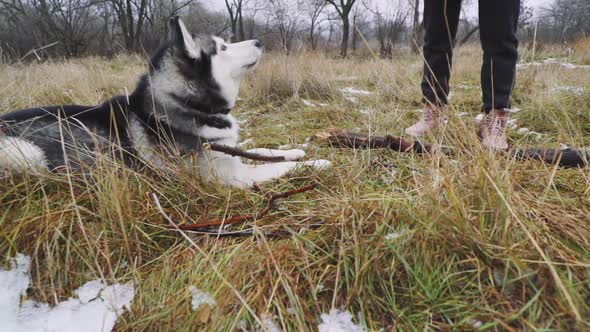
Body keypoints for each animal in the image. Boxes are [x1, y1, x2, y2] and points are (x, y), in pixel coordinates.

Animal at [0, 16, 330, 188]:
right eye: (223, 47)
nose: (260, 41)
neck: (188, 105)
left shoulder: (229, 149)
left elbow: (261, 150)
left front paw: (294, 150)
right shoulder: (232, 176)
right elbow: (272, 168)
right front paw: (317, 162)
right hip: (25, 153)